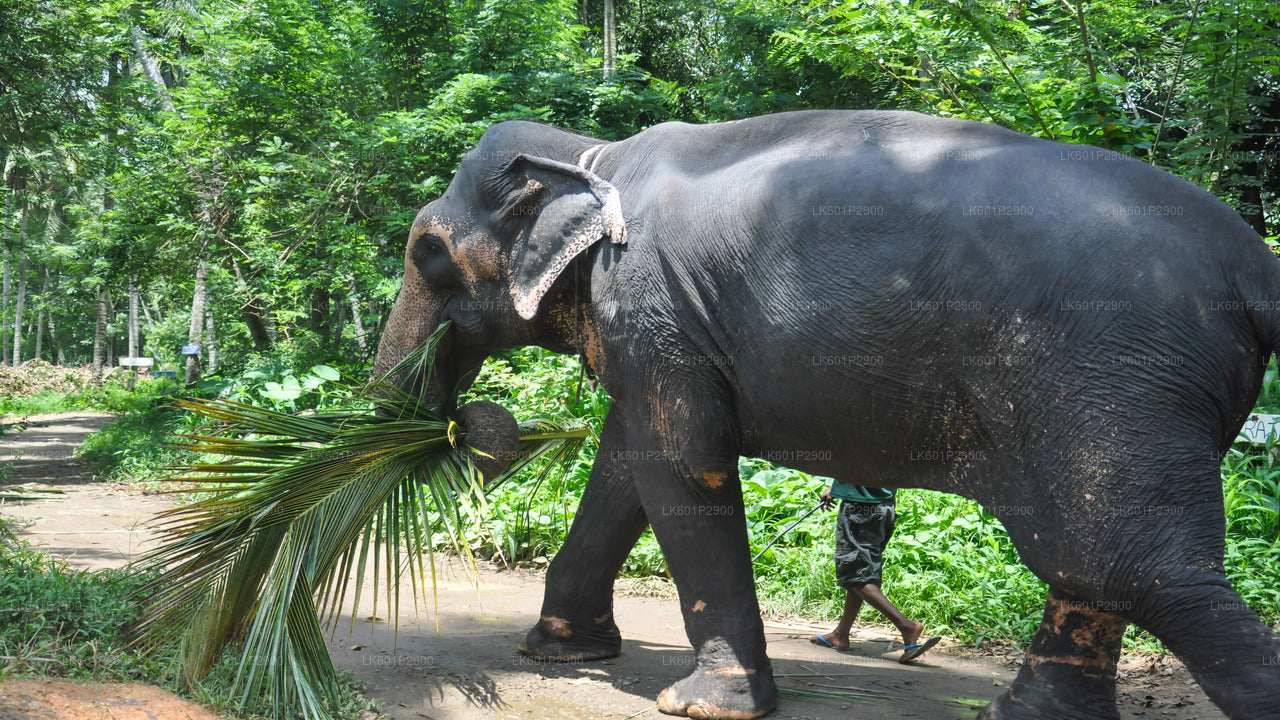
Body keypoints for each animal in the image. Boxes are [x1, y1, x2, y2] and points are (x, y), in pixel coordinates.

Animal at [373, 109, 1280, 720]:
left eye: (427, 252)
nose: (463, 425)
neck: (595, 152)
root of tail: (1258, 267)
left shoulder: (652, 300)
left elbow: (681, 464)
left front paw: (703, 704)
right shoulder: (665, 329)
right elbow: (628, 459)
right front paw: (563, 649)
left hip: (1112, 377)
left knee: (1133, 566)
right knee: (1090, 568)